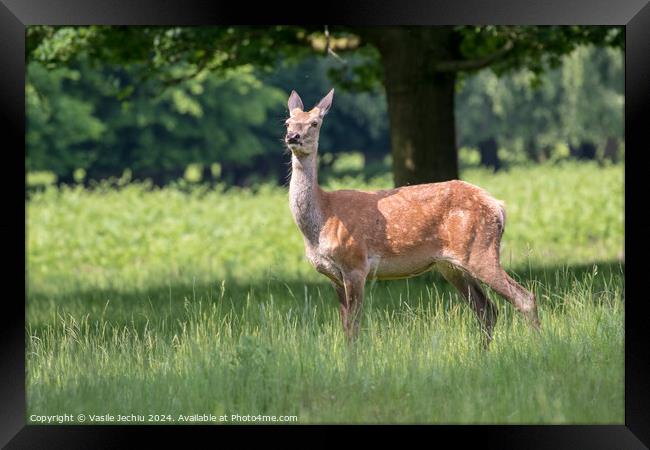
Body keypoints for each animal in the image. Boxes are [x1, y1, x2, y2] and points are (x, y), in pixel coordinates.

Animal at [284, 89, 536, 346]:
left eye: (314, 123)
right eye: (287, 122)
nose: (293, 137)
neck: (323, 218)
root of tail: (499, 207)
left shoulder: (355, 263)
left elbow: (354, 327)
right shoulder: (334, 275)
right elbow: (346, 327)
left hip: (480, 250)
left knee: (524, 298)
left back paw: (536, 343)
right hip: (451, 264)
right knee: (487, 308)